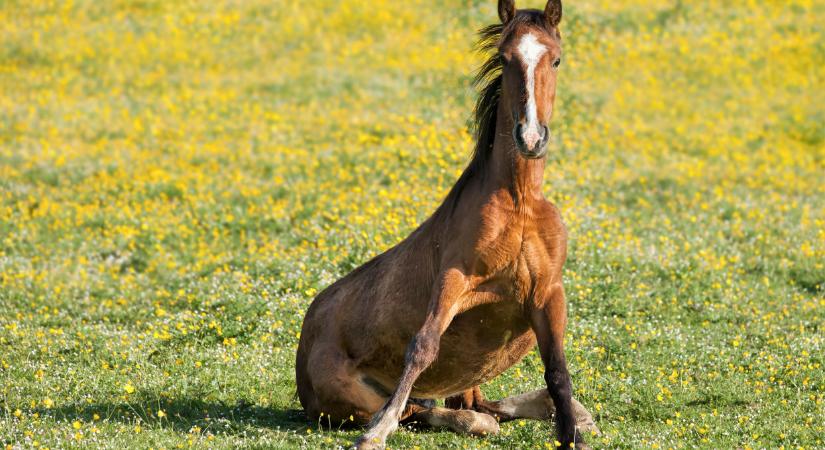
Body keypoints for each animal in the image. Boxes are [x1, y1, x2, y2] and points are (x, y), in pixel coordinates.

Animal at [292, 1, 596, 448]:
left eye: (555, 59)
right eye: (505, 59)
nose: (530, 137)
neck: (518, 203)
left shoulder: (547, 293)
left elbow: (557, 369)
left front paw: (573, 431)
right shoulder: (454, 278)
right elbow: (422, 345)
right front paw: (375, 434)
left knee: (477, 404)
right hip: (350, 397)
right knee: (427, 412)